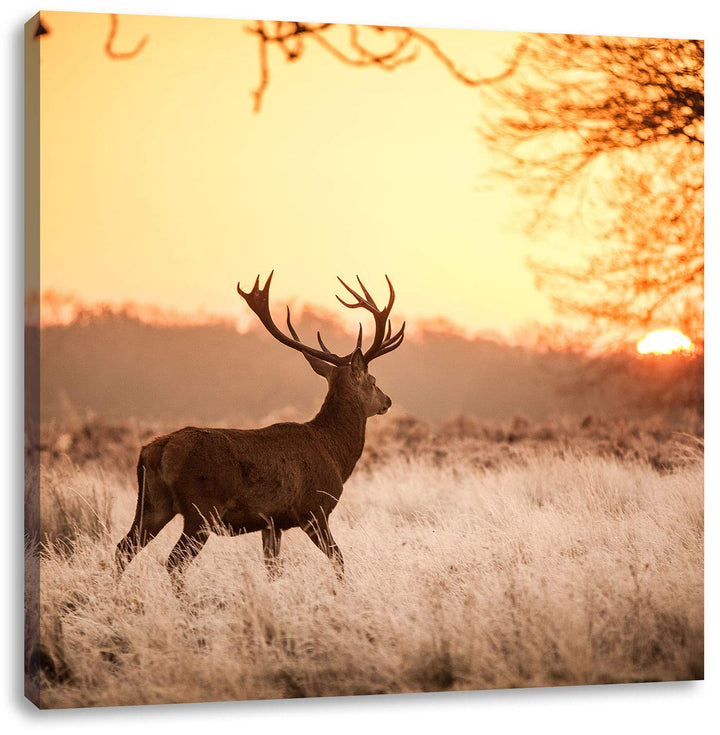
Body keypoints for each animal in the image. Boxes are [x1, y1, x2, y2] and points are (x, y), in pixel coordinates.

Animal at [115, 273, 404, 591]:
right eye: (373, 380)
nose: (388, 401)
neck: (334, 452)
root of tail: (156, 450)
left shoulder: (272, 522)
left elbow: (273, 569)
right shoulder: (313, 509)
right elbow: (338, 559)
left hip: (152, 504)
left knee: (123, 548)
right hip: (201, 508)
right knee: (173, 561)